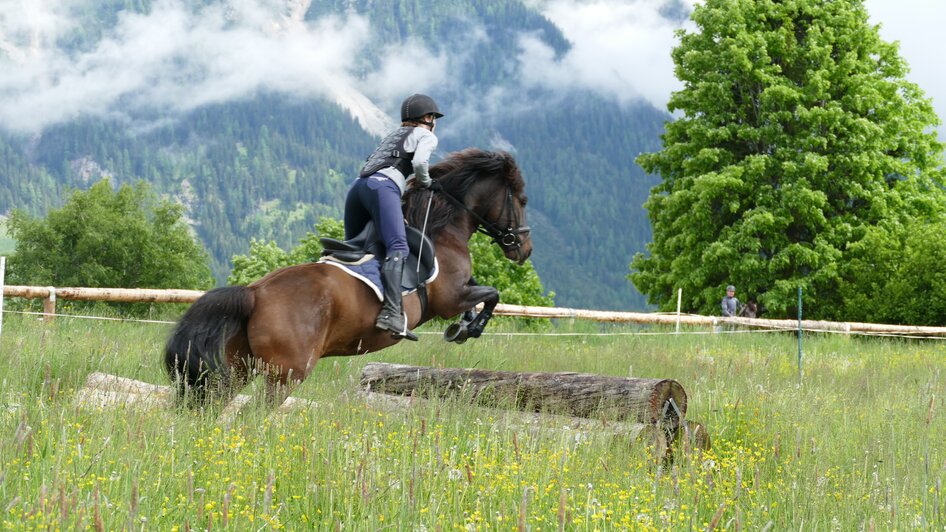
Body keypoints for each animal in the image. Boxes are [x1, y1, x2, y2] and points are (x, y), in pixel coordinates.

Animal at [163, 149, 532, 408]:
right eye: (522, 200)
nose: (524, 249)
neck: (443, 229)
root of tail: (255, 293)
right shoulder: (449, 297)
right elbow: (492, 294)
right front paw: (468, 329)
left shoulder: (459, 293)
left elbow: (484, 293)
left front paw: (465, 325)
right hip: (288, 374)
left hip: (241, 366)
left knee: (216, 405)